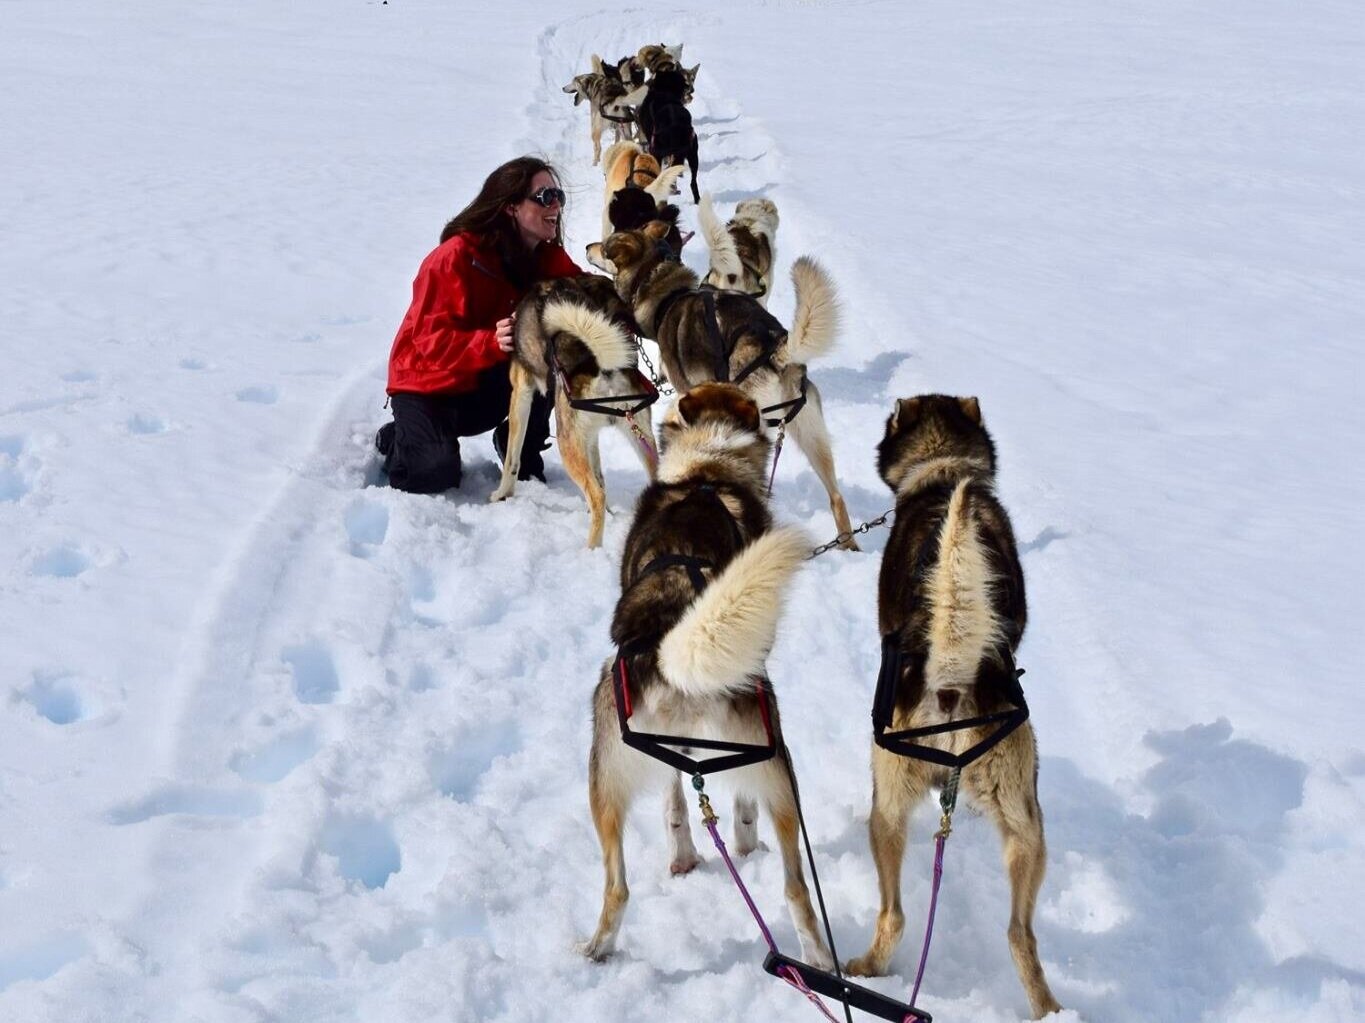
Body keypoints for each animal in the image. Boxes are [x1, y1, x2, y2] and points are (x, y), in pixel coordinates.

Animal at [584, 219, 851, 546]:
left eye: (606, 244)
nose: (587, 246)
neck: (667, 294)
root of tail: (775, 349)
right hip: (811, 434)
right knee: (836, 497)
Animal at [840, 396, 1064, 1016]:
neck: (943, 475)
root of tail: (951, 684)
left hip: (887, 803)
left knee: (893, 915)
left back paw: (866, 968)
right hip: (1027, 824)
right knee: (1020, 934)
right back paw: (1050, 1009)